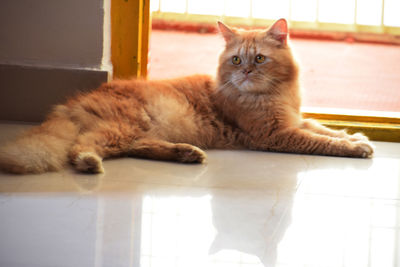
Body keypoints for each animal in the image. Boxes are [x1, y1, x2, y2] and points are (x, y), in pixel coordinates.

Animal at [0, 18, 374, 174]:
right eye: (236, 60)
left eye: (259, 59)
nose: (245, 73)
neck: (274, 95)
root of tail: (70, 105)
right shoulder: (276, 134)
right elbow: (323, 142)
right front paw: (355, 148)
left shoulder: (294, 119)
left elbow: (325, 129)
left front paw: (356, 137)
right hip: (124, 126)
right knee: (82, 147)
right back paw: (89, 163)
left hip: (136, 131)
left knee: (136, 148)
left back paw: (186, 154)